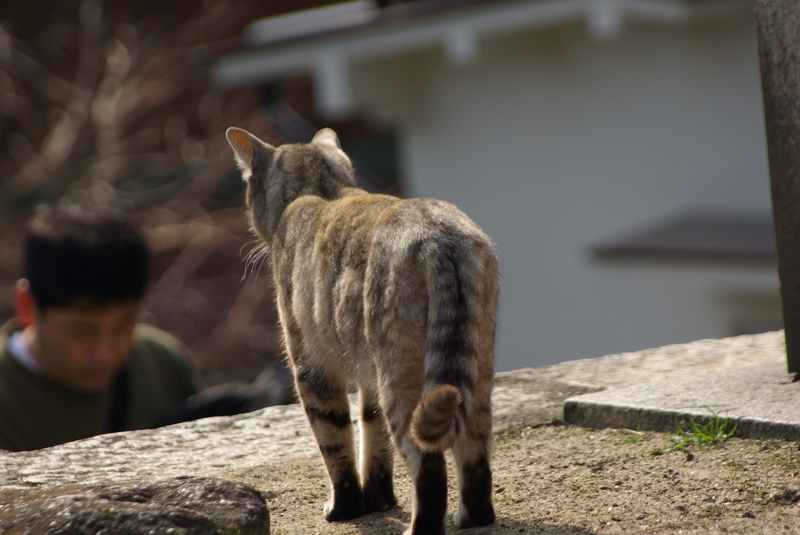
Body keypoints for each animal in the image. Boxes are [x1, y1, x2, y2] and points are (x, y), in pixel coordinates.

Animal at [228, 126, 496, 535]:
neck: (323, 191)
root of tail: (441, 236)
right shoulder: (368, 379)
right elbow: (374, 440)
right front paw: (378, 500)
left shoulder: (311, 368)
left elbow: (336, 443)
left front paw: (347, 507)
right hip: (475, 370)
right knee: (476, 460)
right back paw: (469, 519)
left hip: (401, 379)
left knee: (429, 470)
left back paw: (418, 528)